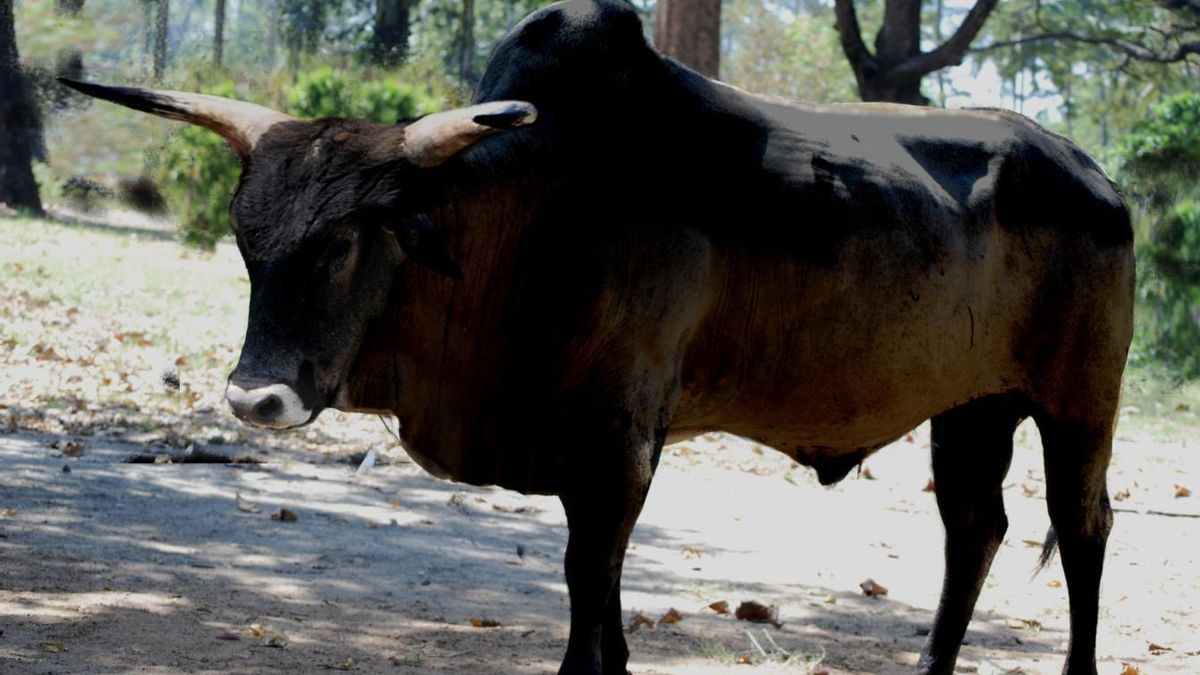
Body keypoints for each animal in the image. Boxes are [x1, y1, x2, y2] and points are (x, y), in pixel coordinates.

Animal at [63, 0, 1134, 673]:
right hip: (973, 407)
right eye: (250, 241)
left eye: (340, 245)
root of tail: (1093, 172)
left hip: (1079, 403)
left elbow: (591, 600)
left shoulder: (618, 444)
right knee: (975, 528)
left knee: (1082, 530)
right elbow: (599, 609)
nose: (256, 397)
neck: (529, 216)